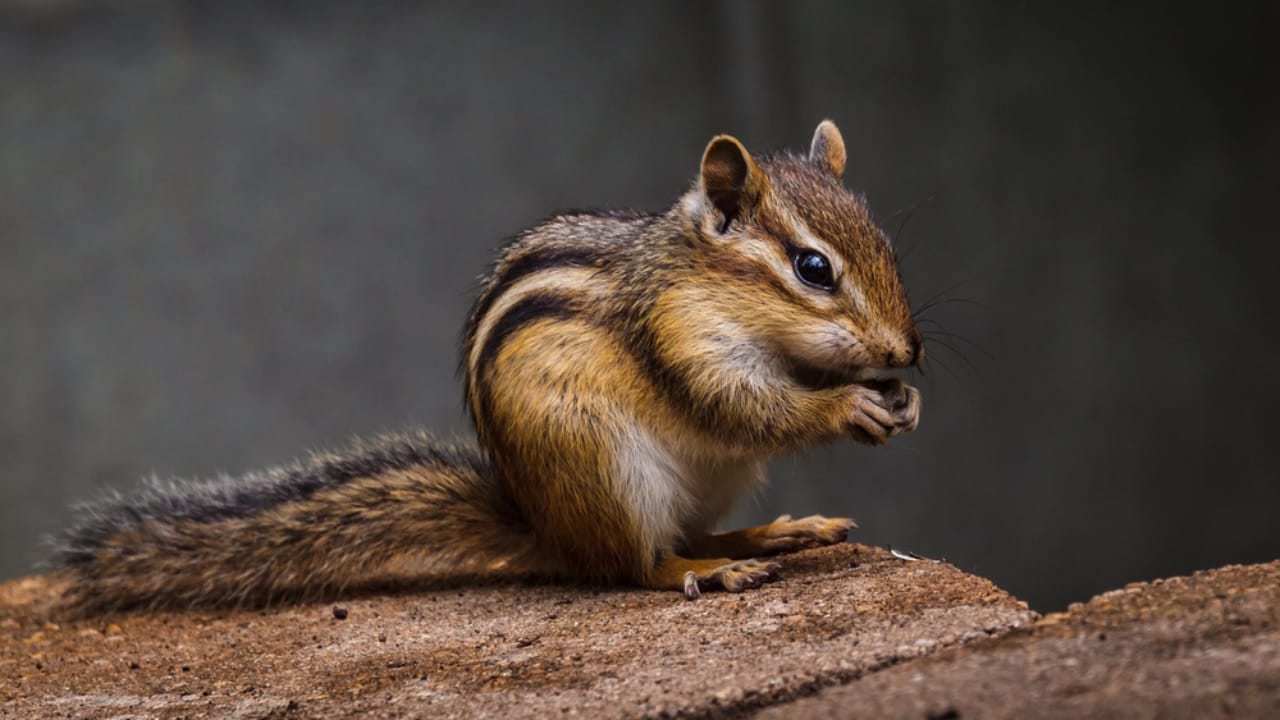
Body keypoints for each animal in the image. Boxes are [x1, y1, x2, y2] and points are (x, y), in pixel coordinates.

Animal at [54, 120, 923, 612]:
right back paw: (707, 572)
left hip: (712, 479)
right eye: (813, 268)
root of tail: (547, 528)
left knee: (696, 531)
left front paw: (902, 400)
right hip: (605, 467)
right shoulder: (676, 339)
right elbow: (741, 406)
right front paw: (847, 406)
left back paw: (772, 535)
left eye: (887, 245)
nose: (905, 352)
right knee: (637, 563)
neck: (707, 282)